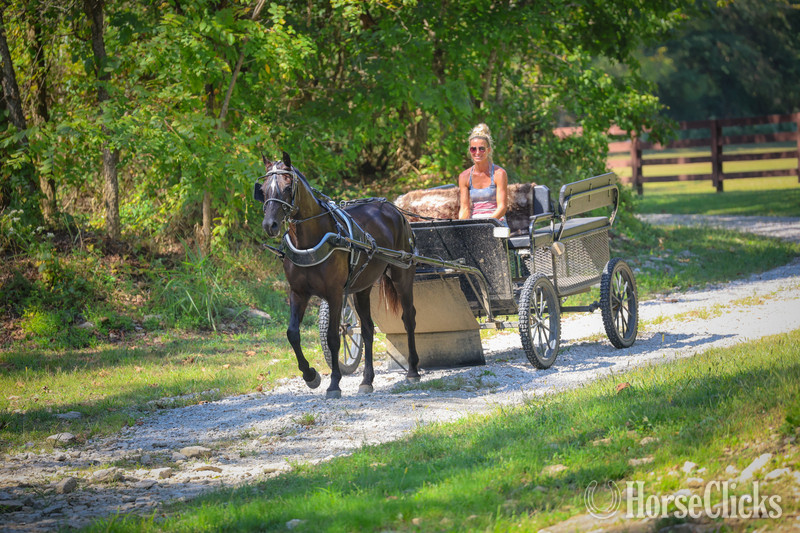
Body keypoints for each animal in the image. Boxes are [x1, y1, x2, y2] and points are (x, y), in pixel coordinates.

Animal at [255, 152, 421, 398]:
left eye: (286, 187)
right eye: (264, 189)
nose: (270, 225)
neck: (310, 241)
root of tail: (394, 209)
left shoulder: (334, 294)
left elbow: (333, 337)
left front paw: (334, 383)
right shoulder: (298, 293)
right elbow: (292, 333)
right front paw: (310, 376)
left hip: (403, 274)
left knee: (408, 318)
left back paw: (412, 371)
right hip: (362, 287)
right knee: (368, 329)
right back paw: (367, 380)